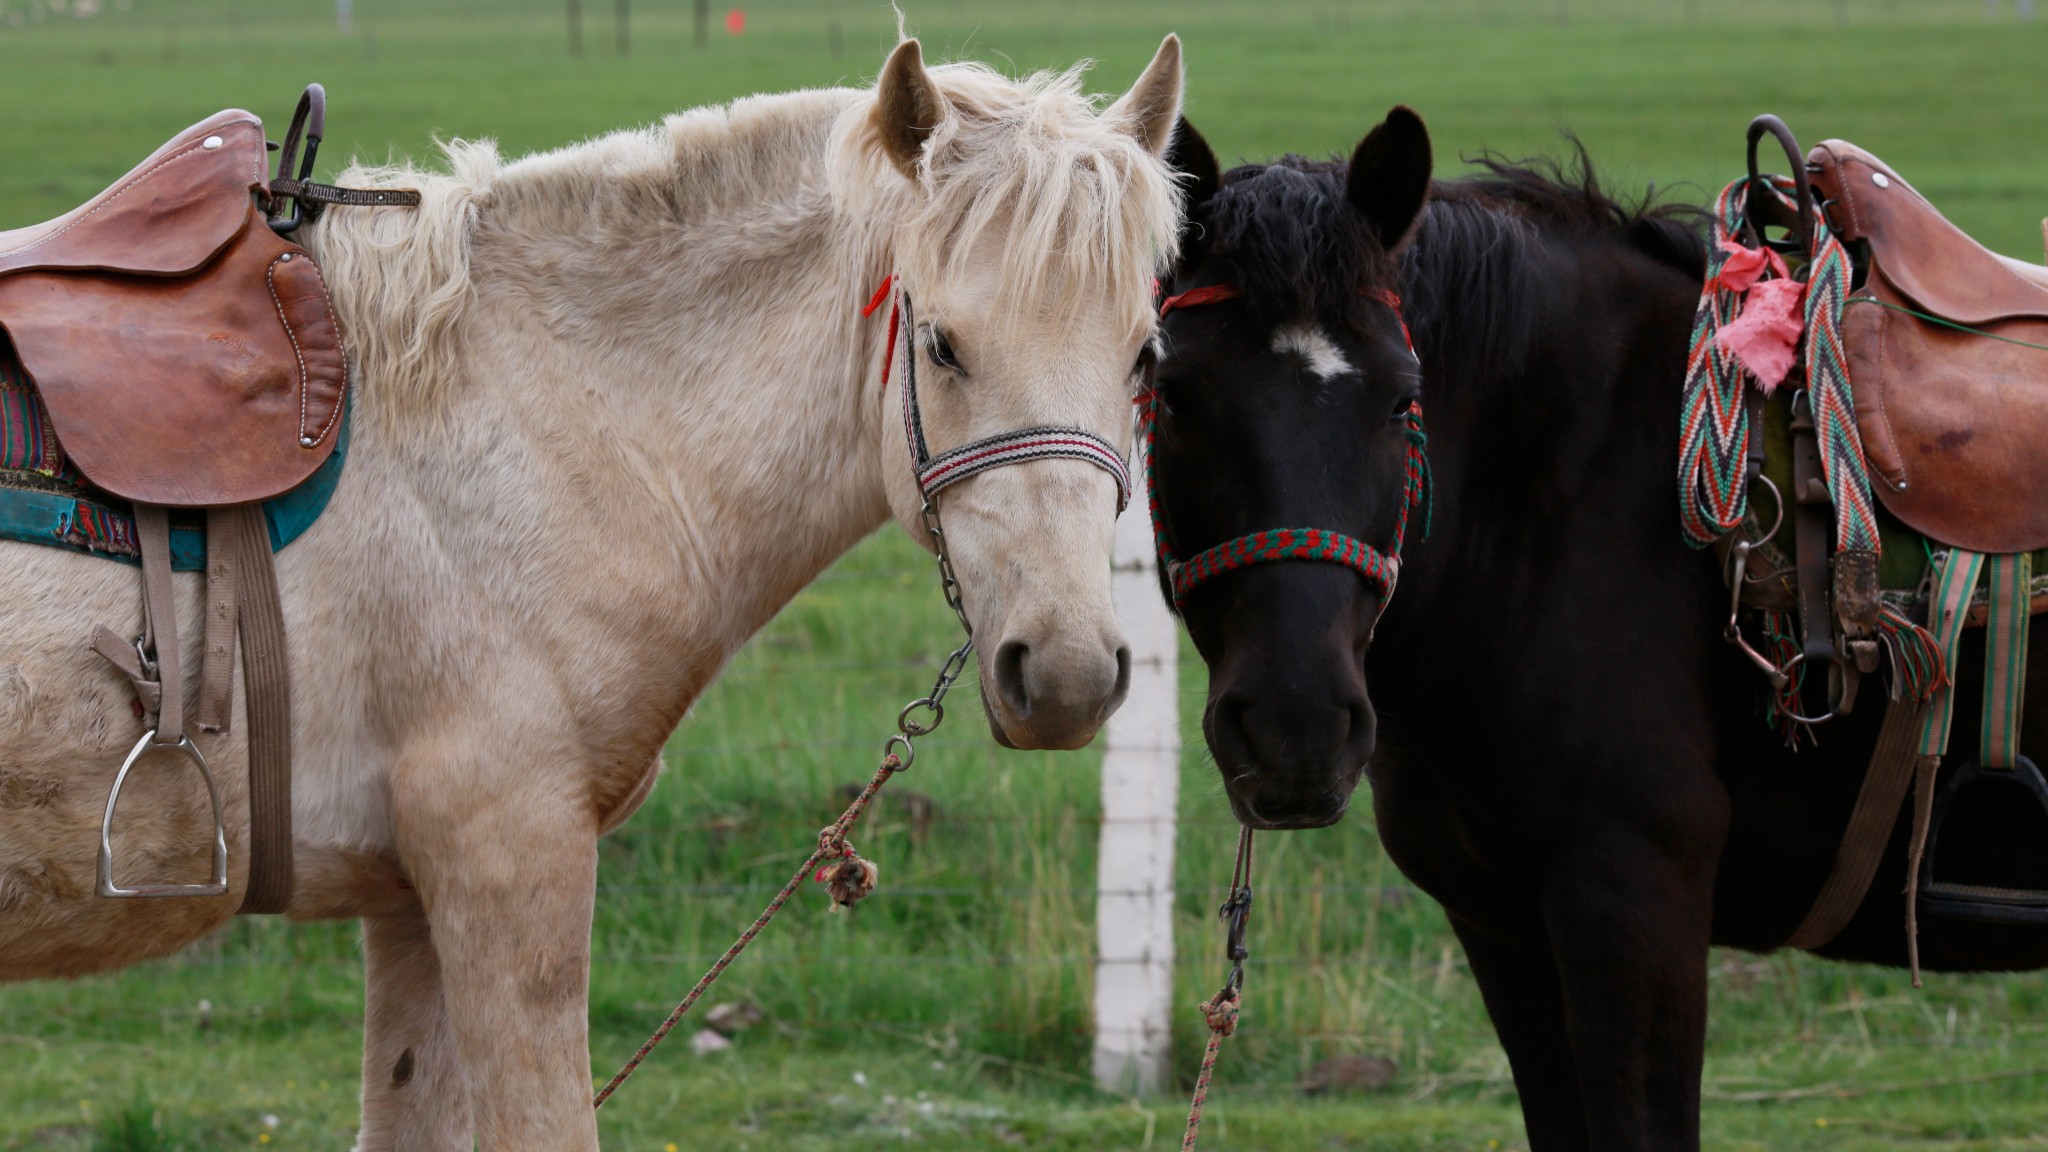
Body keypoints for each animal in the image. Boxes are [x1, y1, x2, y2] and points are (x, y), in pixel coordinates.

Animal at [0, 38, 1187, 1147]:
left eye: (1143, 356)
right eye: (943, 346)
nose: (1068, 675)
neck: (521, 424)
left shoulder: (413, 905)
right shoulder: (509, 865)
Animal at [1155, 109, 2048, 1147]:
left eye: (1404, 398)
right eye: (1173, 396)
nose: (1296, 727)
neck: (1562, 491)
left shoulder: (1631, 903)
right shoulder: (1504, 924)